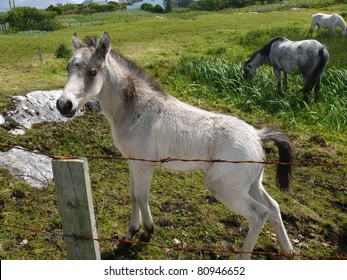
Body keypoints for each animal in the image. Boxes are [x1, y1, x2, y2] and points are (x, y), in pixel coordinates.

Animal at [57, 32, 296, 260]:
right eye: (68, 67)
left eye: (93, 72)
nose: (63, 105)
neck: (135, 108)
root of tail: (257, 135)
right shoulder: (132, 162)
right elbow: (133, 194)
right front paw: (130, 233)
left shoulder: (144, 165)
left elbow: (141, 196)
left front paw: (147, 232)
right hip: (252, 184)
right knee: (273, 207)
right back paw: (288, 250)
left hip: (224, 187)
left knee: (259, 214)